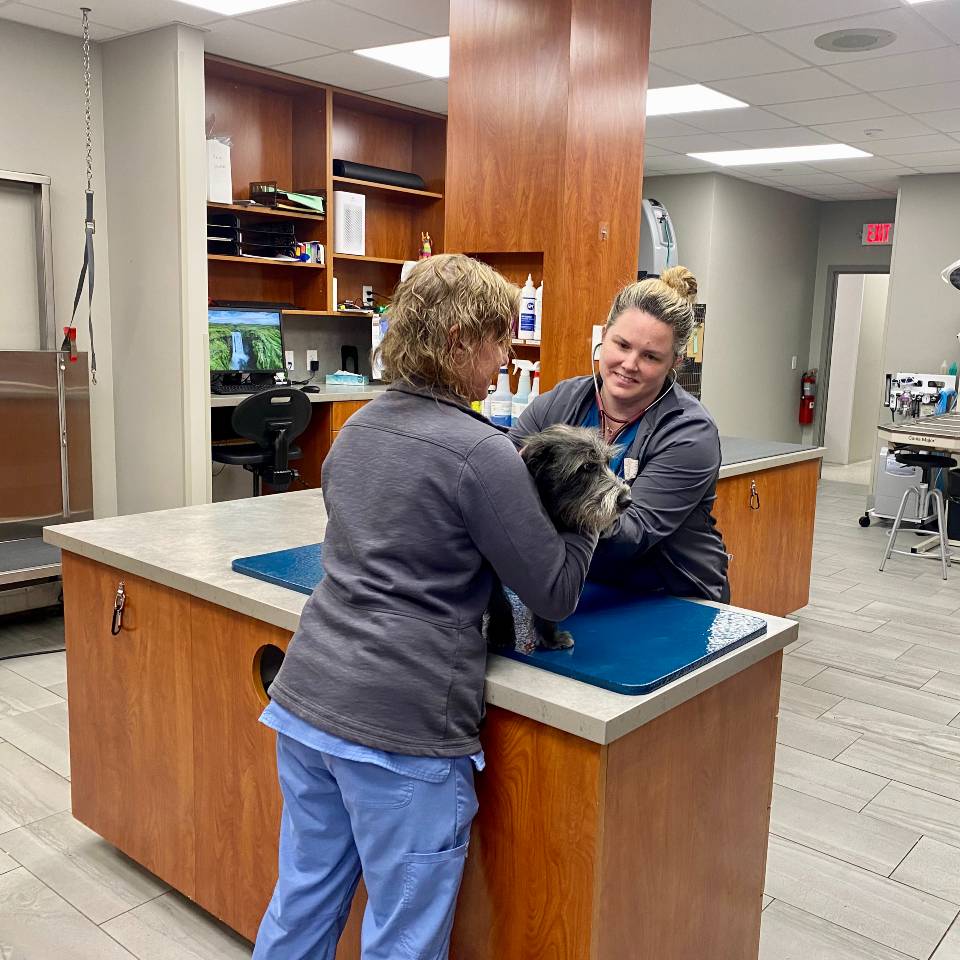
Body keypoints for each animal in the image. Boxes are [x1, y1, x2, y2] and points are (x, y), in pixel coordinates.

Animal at [484, 426, 632, 652]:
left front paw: (549, 636)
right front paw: (500, 631)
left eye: (607, 462)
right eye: (587, 466)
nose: (626, 500)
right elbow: (497, 596)